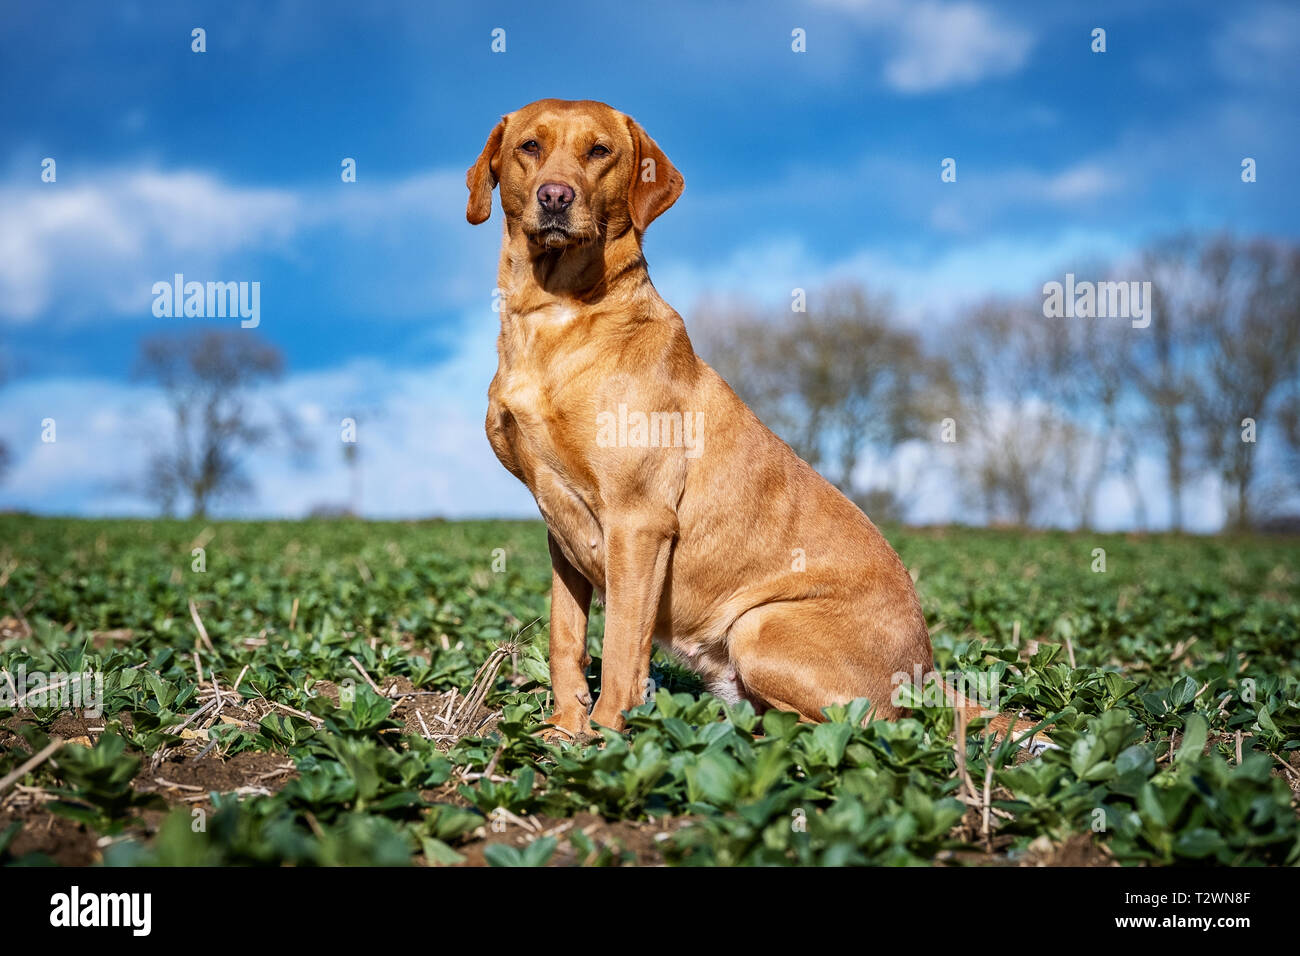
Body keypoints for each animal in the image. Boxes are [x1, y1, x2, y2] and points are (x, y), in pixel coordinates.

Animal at [467, 98, 1034, 738]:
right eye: (530, 146)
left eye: (599, 151)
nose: (555, 197)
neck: (553, 314)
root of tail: (930, 675)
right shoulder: (559, 526)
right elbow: (567, 637)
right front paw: (566, 729)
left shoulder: (638, 520)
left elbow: (619, 650)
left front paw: (608, 737)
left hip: (759, 626)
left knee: (856, 730)